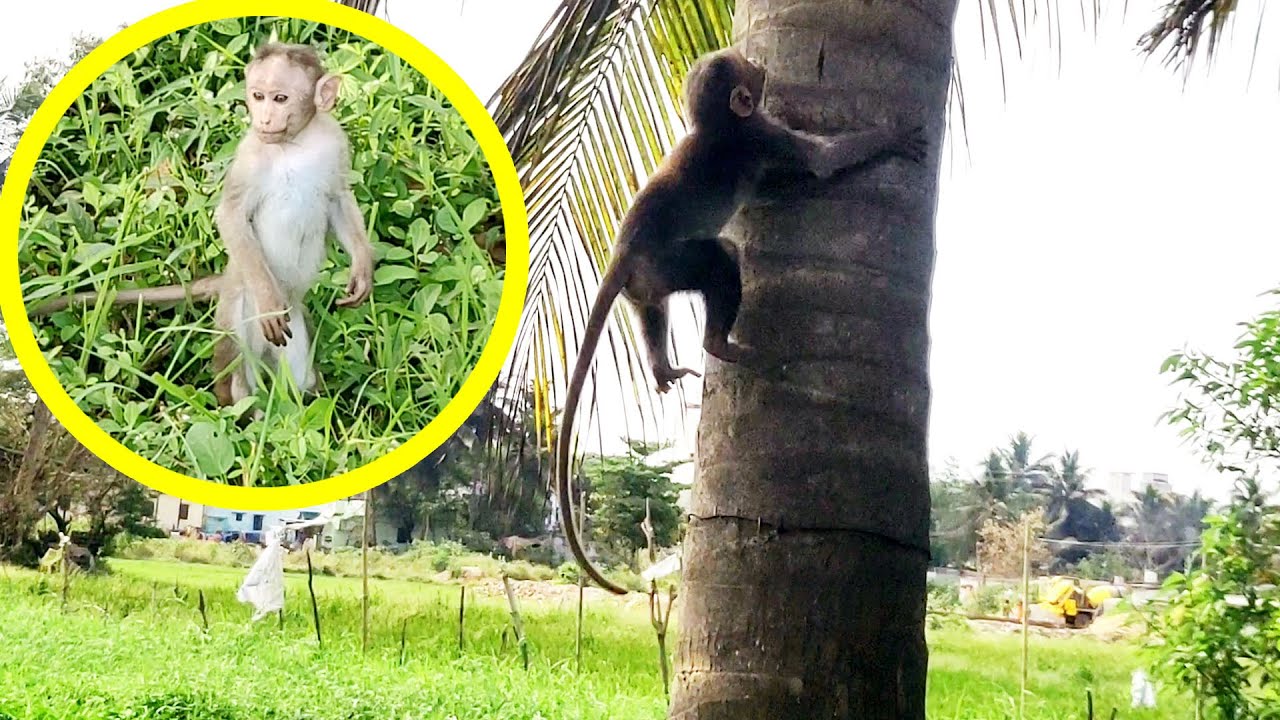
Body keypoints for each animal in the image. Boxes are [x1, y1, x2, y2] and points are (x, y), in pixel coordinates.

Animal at [556, 47, 929, 595]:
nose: (762, 65)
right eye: (746, 66)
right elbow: (819, 164)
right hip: (667, 263)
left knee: (654, 311)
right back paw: (720, 343)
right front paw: (892, 136)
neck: (718, 126)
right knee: (721, 258)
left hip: (644, 285)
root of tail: (624, 252)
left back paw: (662, 367)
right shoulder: (761, 134)